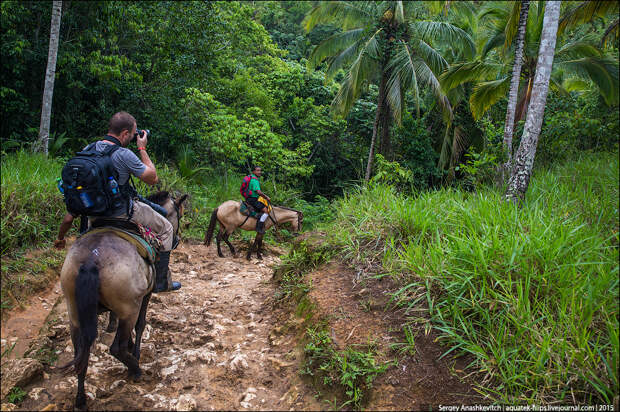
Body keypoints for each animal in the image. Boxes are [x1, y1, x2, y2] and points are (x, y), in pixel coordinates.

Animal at [59, 192, 188, 408]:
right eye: (179, 215)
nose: (177, 239)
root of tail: (90, 261)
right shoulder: (145, 296)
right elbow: (141, 324)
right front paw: (134, 352)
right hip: (129, 307)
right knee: (116, 348)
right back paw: (135, 369)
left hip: (75, 313)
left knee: (81, 355)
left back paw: (81, 399)